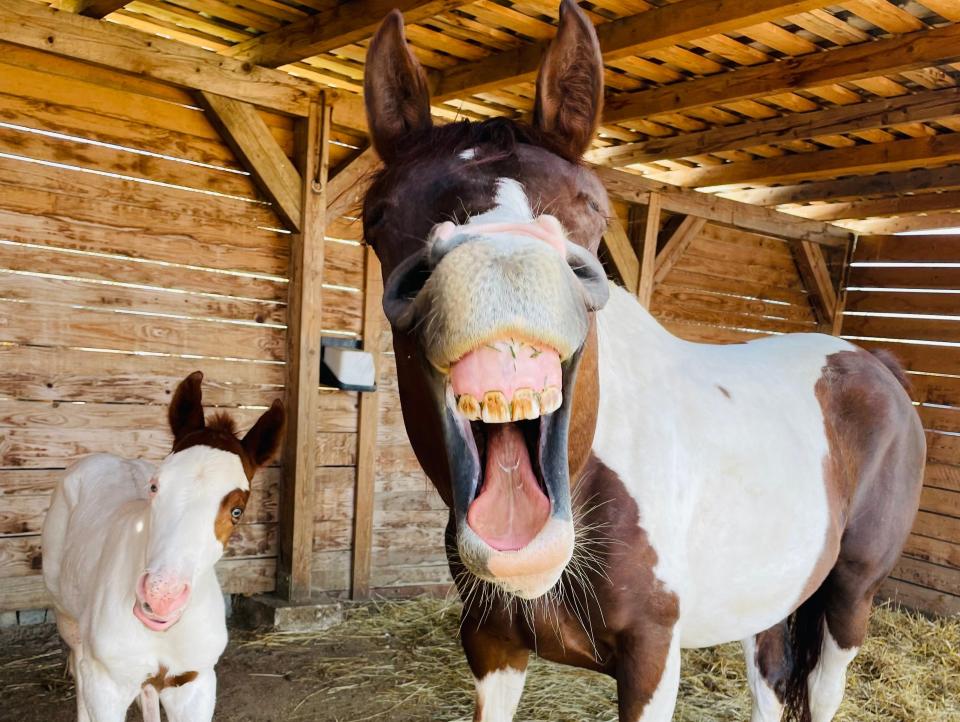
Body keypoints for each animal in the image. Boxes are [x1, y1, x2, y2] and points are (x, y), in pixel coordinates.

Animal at [43, 372, 284, 720]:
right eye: (155, 486)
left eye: (237, 510)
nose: (161, 597)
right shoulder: (105, 687)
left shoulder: (195, 685)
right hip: (68, 620)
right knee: (78, 666)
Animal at [358, 2, 924, 716]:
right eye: (378, 215)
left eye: (592, 208)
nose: (501, 265)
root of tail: (878, 365)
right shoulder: (490, 643)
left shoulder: (652, 657)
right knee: (771, 681)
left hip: (851, 596)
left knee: (823, 688)